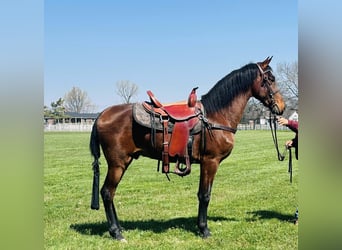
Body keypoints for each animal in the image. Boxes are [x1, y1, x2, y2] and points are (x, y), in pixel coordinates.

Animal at [89, 56, 286, 240]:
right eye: (270, 78)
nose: (282, 107)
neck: (215, 117)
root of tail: (101, 115)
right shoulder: (210, 162)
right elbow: (204, 195)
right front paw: (204, 229)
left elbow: (205, 193)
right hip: (117, 164)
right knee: (107, 192)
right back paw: (116, 232)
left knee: (110, 193)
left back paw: (119, 228)